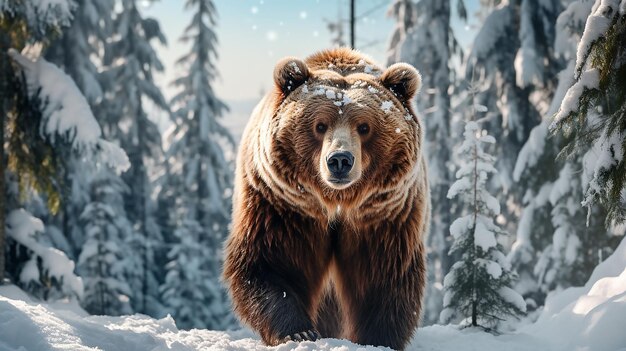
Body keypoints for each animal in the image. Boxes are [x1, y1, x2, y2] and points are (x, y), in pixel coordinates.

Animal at [223, 47, 428, 351]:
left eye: (364, 127)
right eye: (320, 125)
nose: (340, 160)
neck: (336, 203)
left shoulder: (382, 216)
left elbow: (383, 273)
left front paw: (378, 338)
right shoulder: (283, 207)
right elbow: (272, 262)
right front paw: (298, 331)